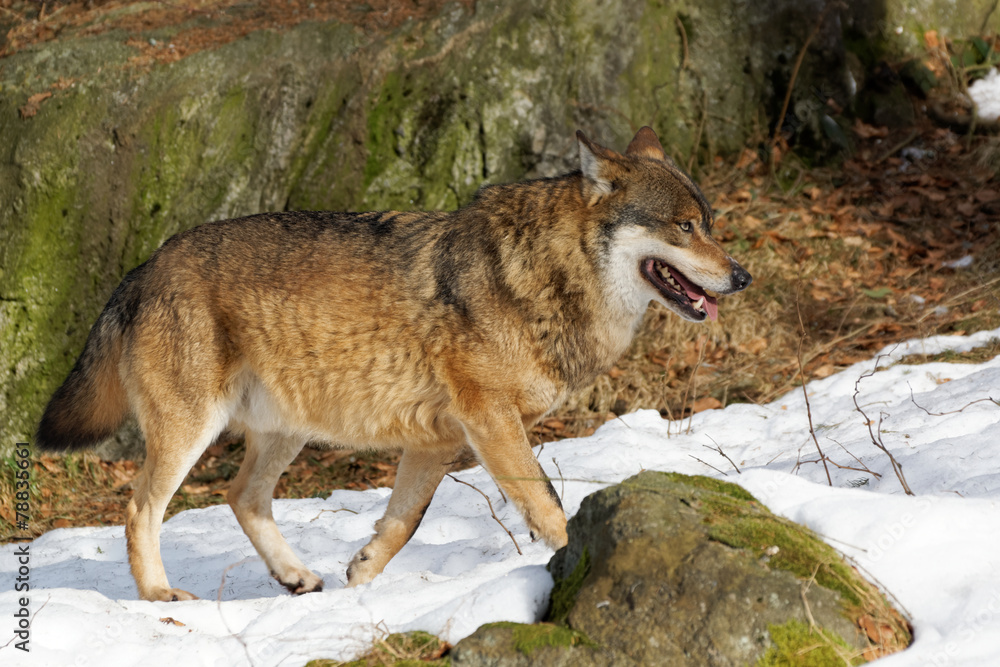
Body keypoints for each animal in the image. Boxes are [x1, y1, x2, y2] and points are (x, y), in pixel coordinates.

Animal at [36, 127, 751, 601]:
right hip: (192, 433)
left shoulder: (438, 443)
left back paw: (296, 577)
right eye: (684, 227)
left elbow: (404, 524)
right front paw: (575, 560)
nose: (742, 276)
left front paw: (361, 584)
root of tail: (141, 268)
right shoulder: (491, 422)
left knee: (241, 497)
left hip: (284, 433)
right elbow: (547, 506)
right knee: (140, 510)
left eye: (710, 223)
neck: (543, 276)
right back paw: (160, 600)